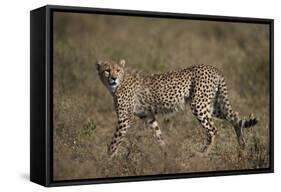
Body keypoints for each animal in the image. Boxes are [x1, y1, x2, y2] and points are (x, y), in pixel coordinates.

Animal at [95, 59, 256, 157]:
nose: (113, 78)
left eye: (117, 70)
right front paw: (166, 154)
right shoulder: (148, 116)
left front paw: (107, 159)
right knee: (235, 116)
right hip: (212, 105)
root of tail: (213, 68)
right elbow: (158, 135)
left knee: (213, 130)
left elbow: (114, 141)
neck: (118, 84)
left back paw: (202, 154)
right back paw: (242, 147)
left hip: (199, 105)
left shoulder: (124, 119)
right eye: (107, 70)